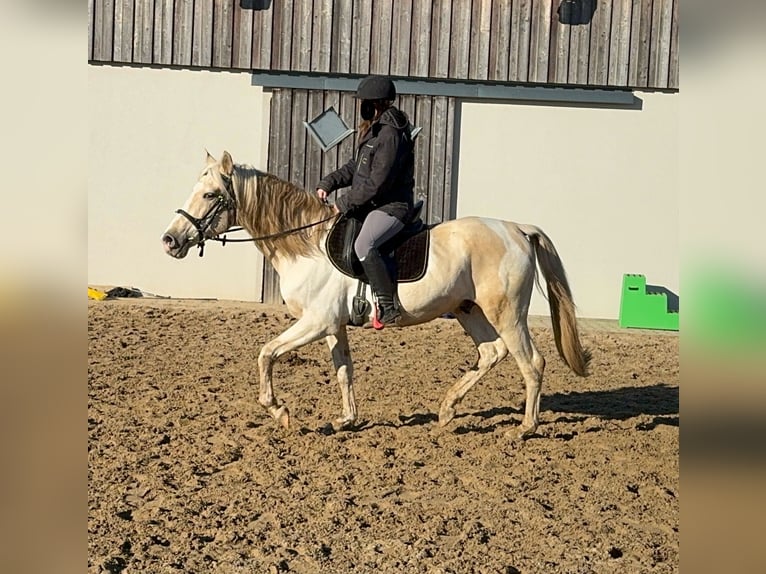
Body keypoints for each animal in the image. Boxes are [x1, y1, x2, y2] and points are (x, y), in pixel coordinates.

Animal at [162, 151, 592, 438]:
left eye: (210, 194)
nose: (170, 241)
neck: (307, 245)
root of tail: (517, 228)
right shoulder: (333, 326)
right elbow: (343, 371)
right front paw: (346, 420)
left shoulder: (315, 322)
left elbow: (266, 354)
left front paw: (280, 412)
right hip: (468, 310)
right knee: (491, 353)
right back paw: (447, 411)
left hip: (506, 313)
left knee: (531, 363)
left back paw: (525, 428)